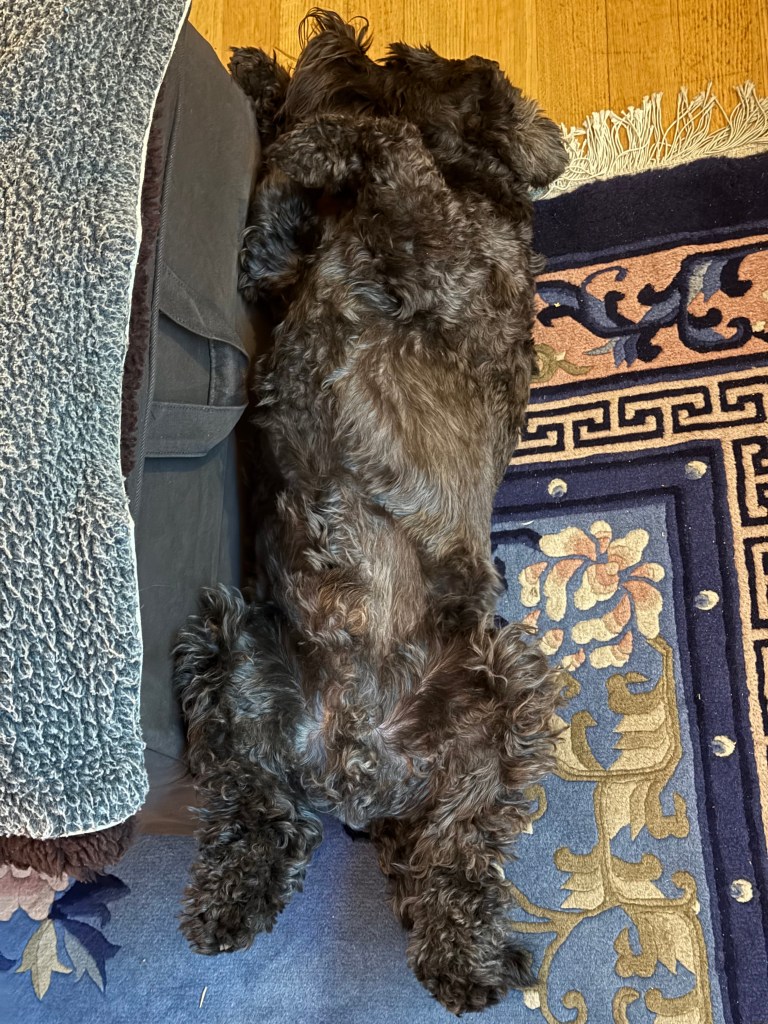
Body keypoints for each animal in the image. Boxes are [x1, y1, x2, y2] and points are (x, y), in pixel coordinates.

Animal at [175, 11, 568, 1015]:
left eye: (386, 57)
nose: (328, 26)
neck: (475, 181)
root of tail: (357, 767)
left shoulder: (430, 235)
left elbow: (369, 141)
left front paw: (301, 125)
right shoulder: (283, 268)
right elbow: (277, 227)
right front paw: (265, 91)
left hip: (507, 690)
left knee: (457, 847)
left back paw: (463, 960)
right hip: (230, 644)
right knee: (260, 805)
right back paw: (235, 901)